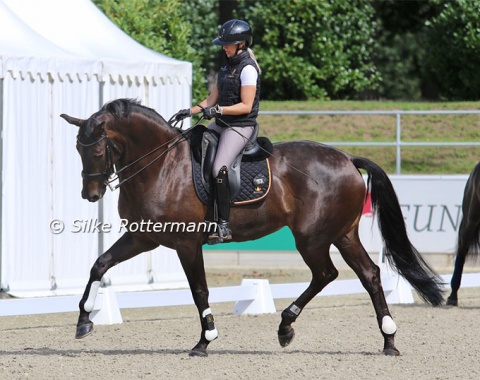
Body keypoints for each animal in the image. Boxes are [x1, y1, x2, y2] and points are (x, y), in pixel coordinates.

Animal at [62, 98, 444, 356]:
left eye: (98, 150)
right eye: (78, 149)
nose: (90, 194)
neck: (161, 165)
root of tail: (348, 159)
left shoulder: (186, 245)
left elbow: (199, 291)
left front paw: (205, 341)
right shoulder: (142, 237)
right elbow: (99, 265)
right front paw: (84, 321)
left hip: (313, 238)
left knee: (328, 274)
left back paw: (288, 327)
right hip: (342, 234)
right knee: (367, 275)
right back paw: (387, 339)